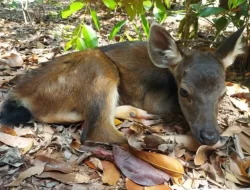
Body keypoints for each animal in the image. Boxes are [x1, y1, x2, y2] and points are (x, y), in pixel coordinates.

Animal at [0, 23, 245, 145]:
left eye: (223, 93)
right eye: (184, 91)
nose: (210, 136)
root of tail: (20, 96)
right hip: (99, 66)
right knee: (98, 131)